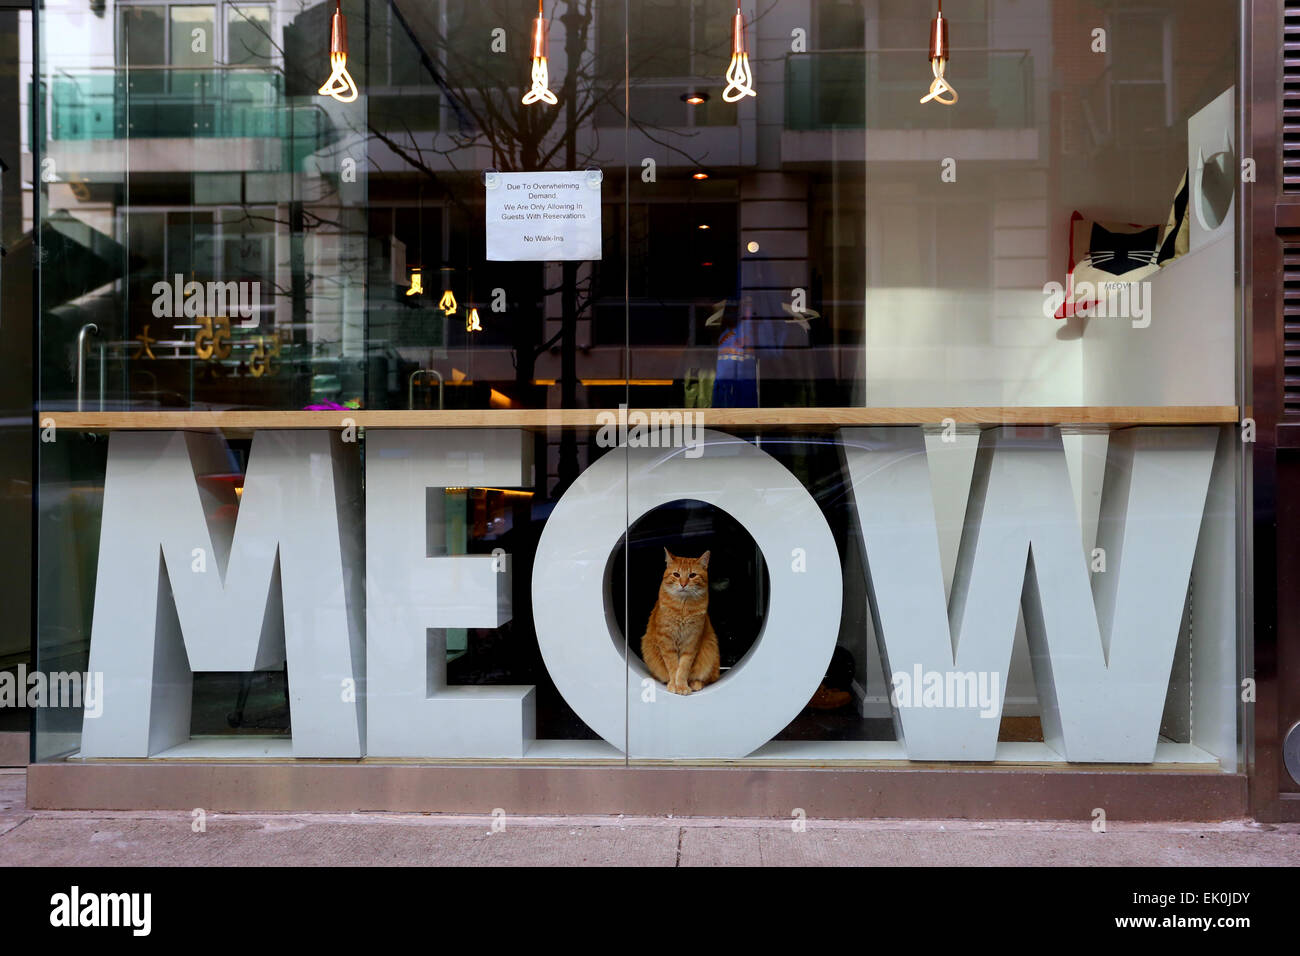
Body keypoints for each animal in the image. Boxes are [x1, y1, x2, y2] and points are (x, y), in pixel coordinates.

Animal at [639, 548, 722, 697]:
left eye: (692, 575)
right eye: (676, 574)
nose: (683, 584)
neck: (683, 609)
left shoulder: (691, 643)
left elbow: (683, 668)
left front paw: (682, 686)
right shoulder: (666, 642)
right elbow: (673, 666)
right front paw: (674, 685)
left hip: (710, 652)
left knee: (707, 678)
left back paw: (695, 684)